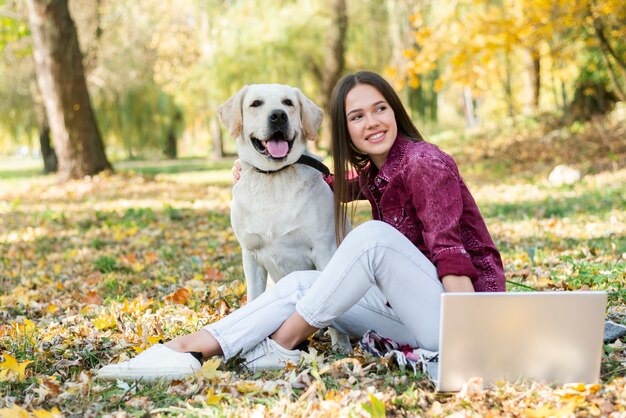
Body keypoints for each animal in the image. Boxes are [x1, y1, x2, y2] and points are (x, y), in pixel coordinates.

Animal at [217, 85, 348, 352]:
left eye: (288, 103)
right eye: (255, 103)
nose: (278, 115)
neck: (273, 178)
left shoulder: (324, 249)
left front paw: (342, 347)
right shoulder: (250, 254)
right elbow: (254, 298)